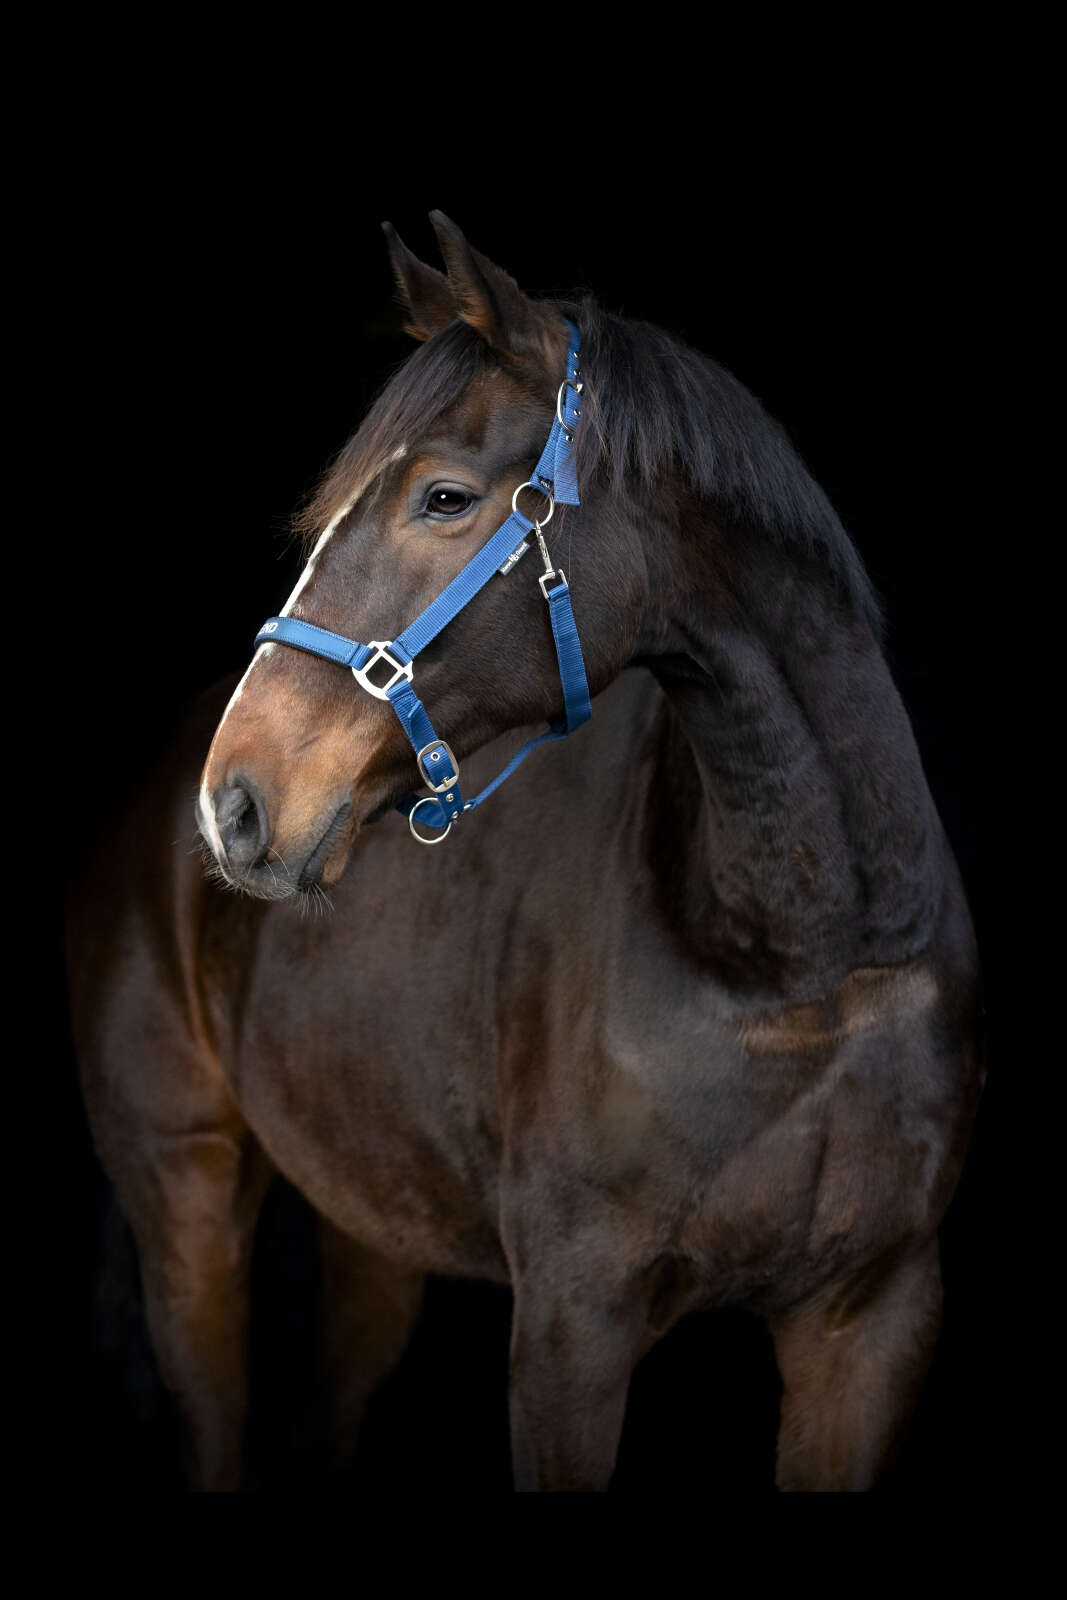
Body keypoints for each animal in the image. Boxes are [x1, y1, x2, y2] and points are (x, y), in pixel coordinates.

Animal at [65, 210, 984, 1491]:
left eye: (444, 497)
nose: (237, 801)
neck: (804, 958)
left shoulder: (872, 1321)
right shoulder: (569, 1323)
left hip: (370, 1223)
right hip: (185, 1201)